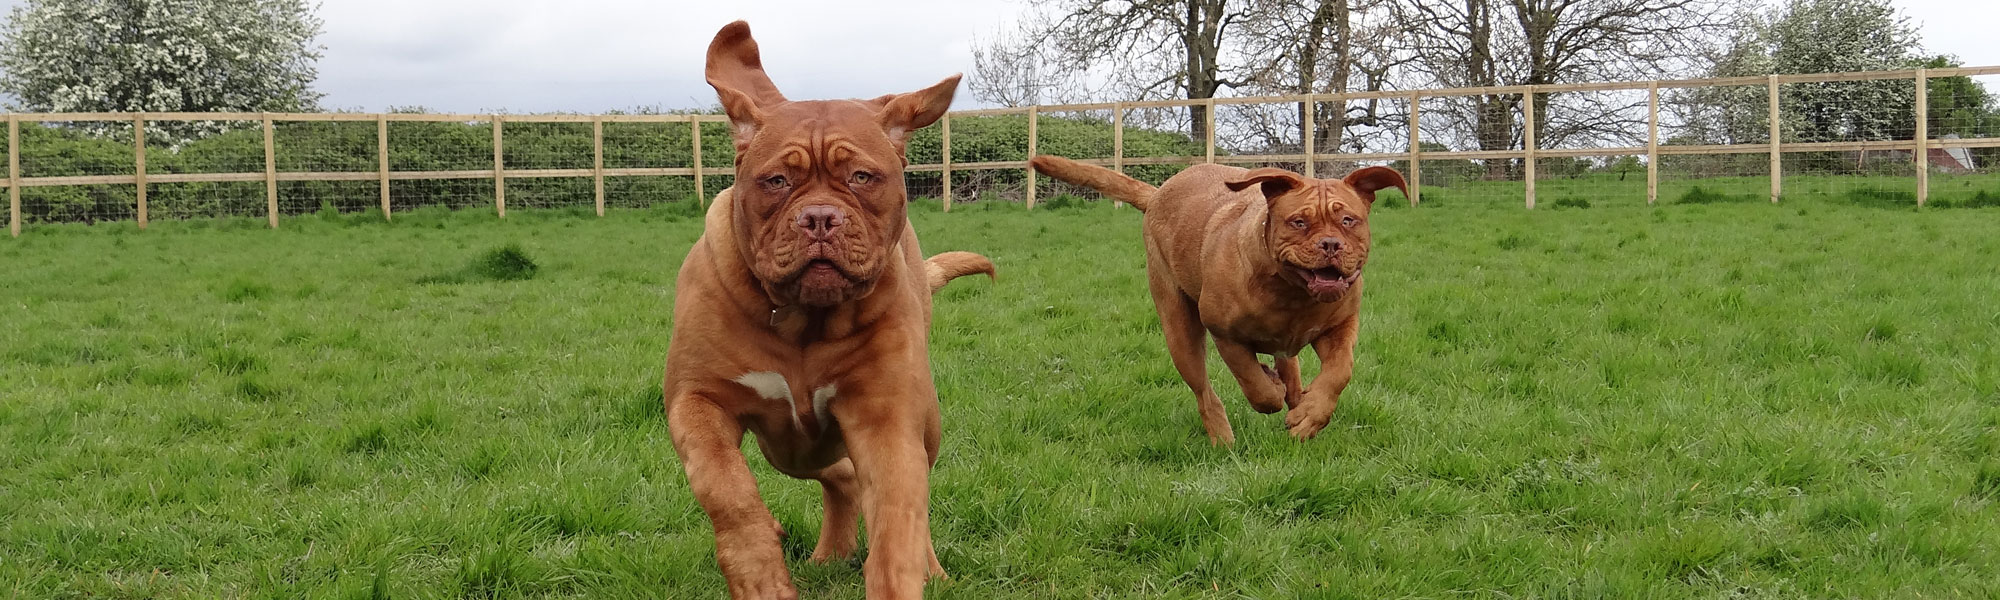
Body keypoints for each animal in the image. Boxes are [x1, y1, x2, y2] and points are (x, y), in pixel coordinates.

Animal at [664, 21, 992, 596]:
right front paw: (760, 575)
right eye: (777, 181)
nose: (819, 217)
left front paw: (901, 575)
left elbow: (899, 521)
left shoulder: (886, 416)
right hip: (787, 447)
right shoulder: (695, 398)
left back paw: (923, 566)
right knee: (838, 476)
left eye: (861, 176)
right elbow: (725, 486)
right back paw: (828, 553)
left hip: (916, 423)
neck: (803, 321)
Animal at [1032, 157, 1408, 442]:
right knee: (1204, 391)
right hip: (1179, 330)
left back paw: (1295, 396)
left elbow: (1339, 372)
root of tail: (1159, 193)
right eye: (1299, 222)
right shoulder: (1224, 333)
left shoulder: (1340, 326)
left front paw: (1310, 416)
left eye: (1348, 220)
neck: (1291, 294)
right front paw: (1272, 390)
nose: (1331, 244)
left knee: (1289, 366)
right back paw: (1223, 436)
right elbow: (1254, 384)